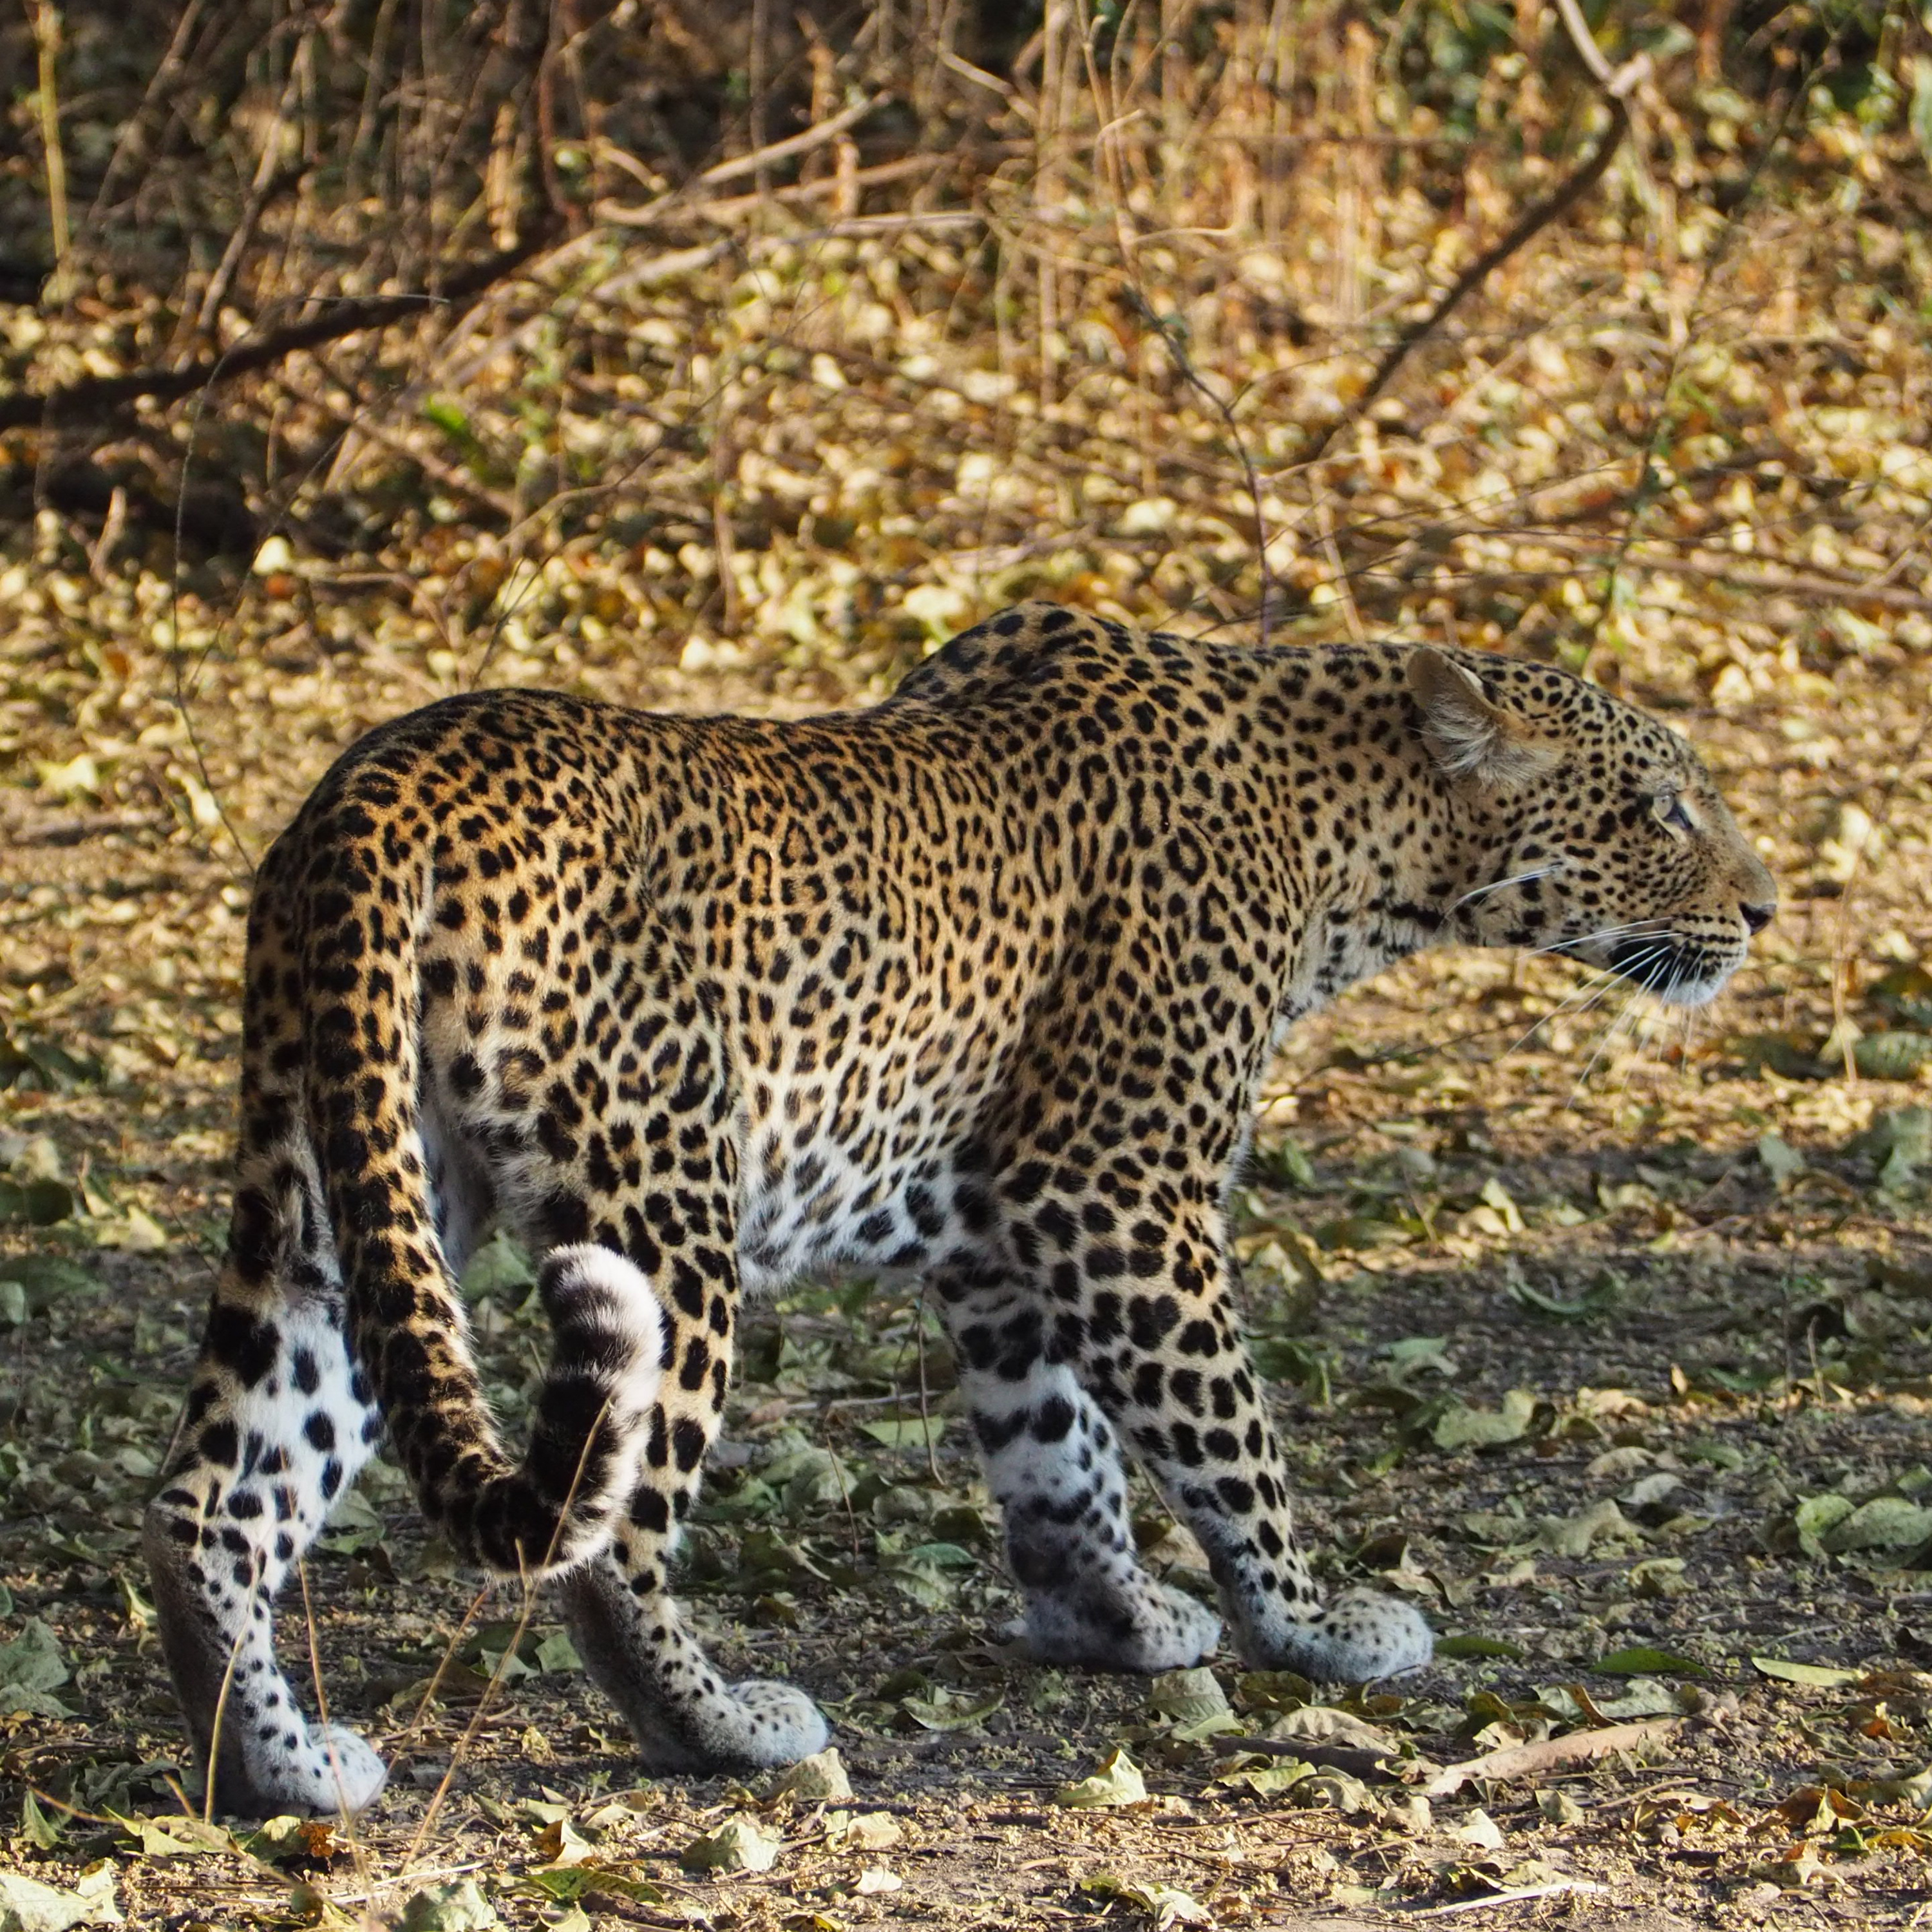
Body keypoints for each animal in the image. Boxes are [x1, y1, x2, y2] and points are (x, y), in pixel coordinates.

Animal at [144, 600, 1775, 1816]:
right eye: (1658, 809)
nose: (1765, 909)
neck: (1344, 840)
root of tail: (382, 787)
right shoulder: (1118, 1186)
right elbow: (1224, 1427)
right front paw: (1312, 1618)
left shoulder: (1003, 1230)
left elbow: (1060, 1447)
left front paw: (1113, 1616)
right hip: (663, 1210)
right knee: (609, 1526)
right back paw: (722, 1725)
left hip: (344, 1191)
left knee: (212, 1494)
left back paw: (276, 1765)